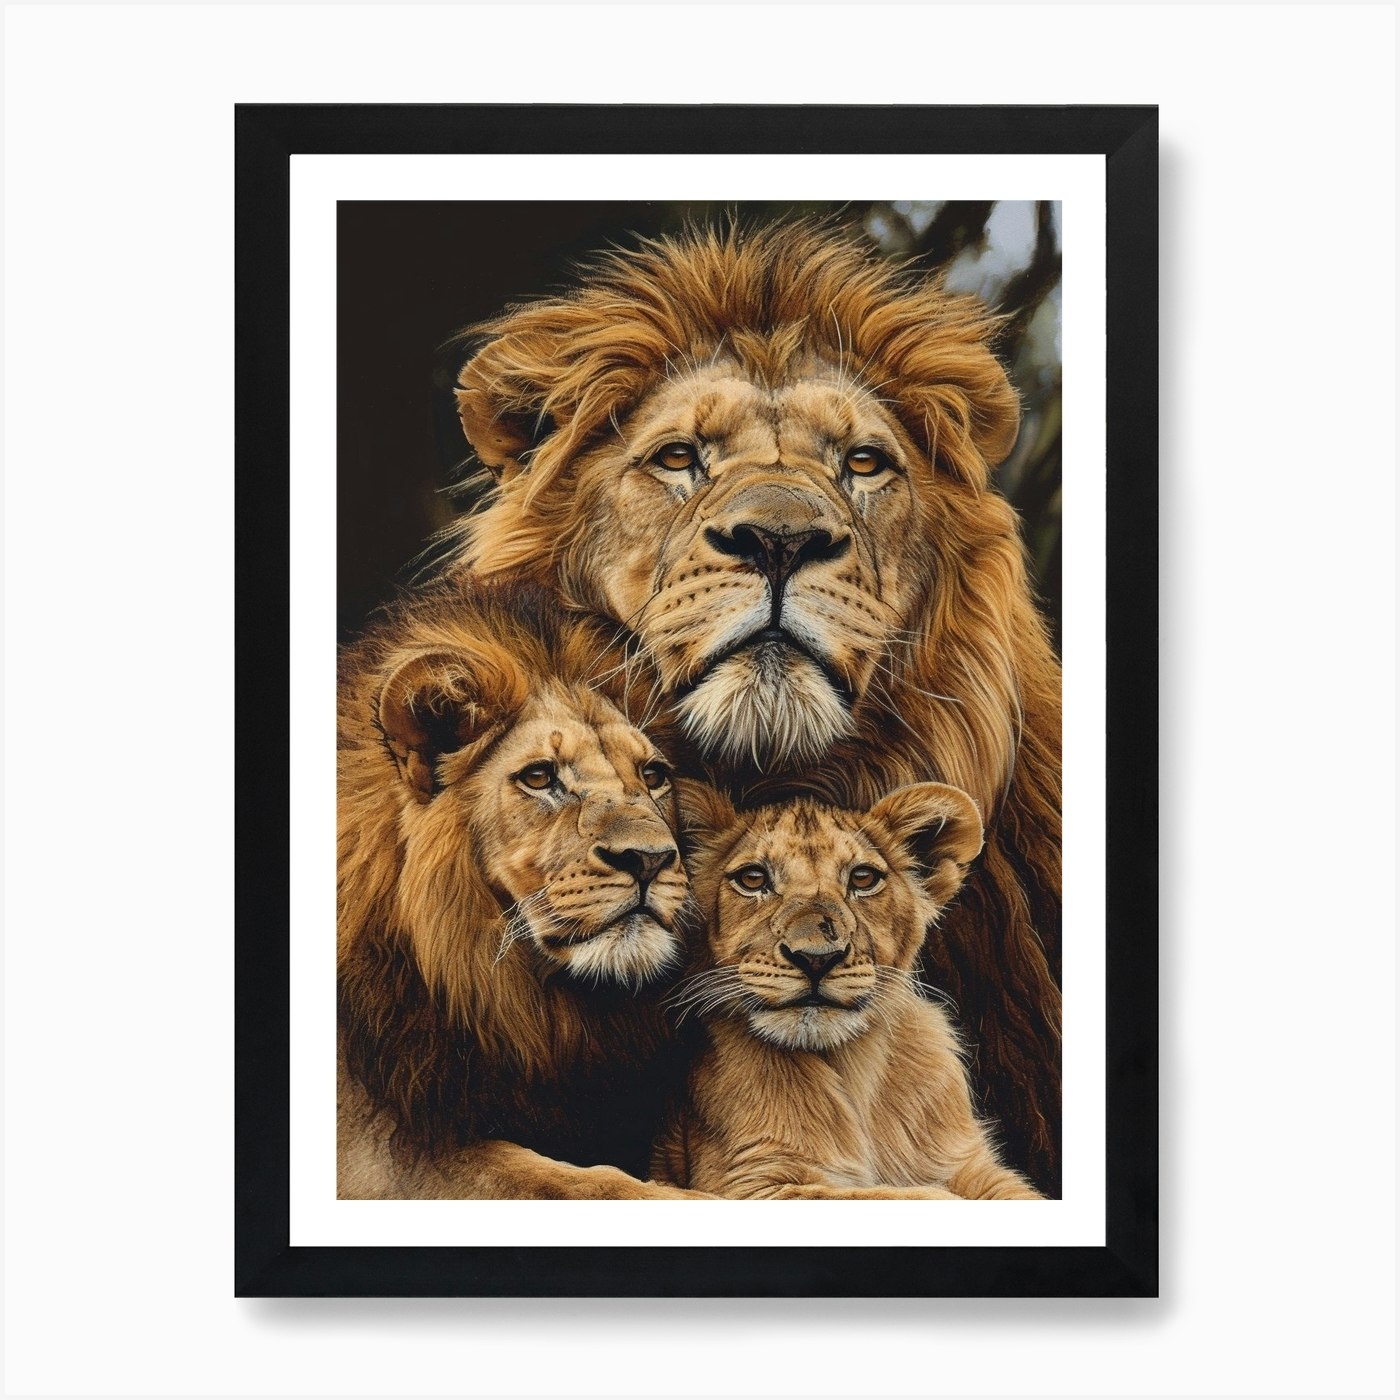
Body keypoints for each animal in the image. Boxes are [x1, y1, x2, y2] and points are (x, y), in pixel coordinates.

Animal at [652, 781, 1041, 1201]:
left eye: (863, 878)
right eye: (753, 879)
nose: (816, 958)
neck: (850, 1064)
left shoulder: (972, 1166)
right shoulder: (754, 1180)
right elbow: (892, 1195)